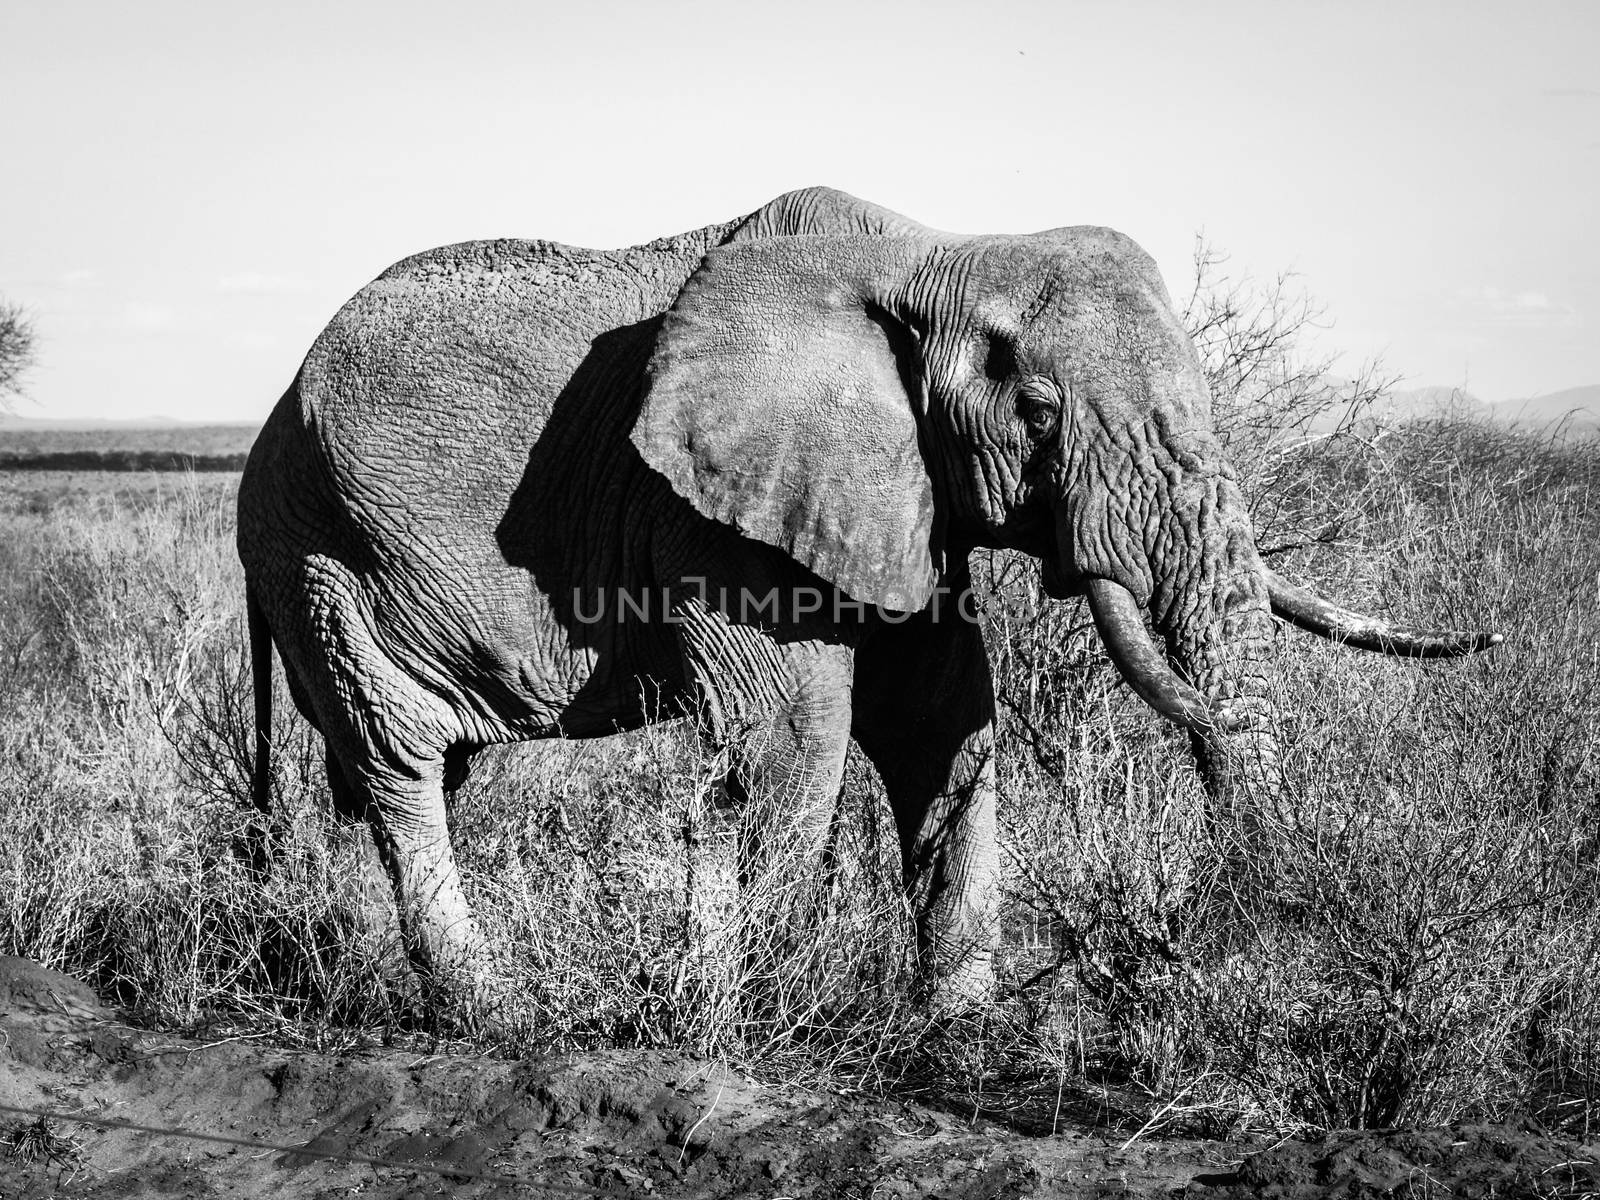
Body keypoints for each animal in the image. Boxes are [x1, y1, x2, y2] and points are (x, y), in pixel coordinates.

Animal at [236, 188, 1497, 1017]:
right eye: (1039, 412)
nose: (1180, 939)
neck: (935, 250)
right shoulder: (717, 513)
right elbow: (795, 738)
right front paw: (759, 1019)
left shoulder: (896, 502)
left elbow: (944, 719)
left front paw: (960, 1031)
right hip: (324, 554)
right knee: (401, 766)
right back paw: (490, 1014)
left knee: (399, 774)